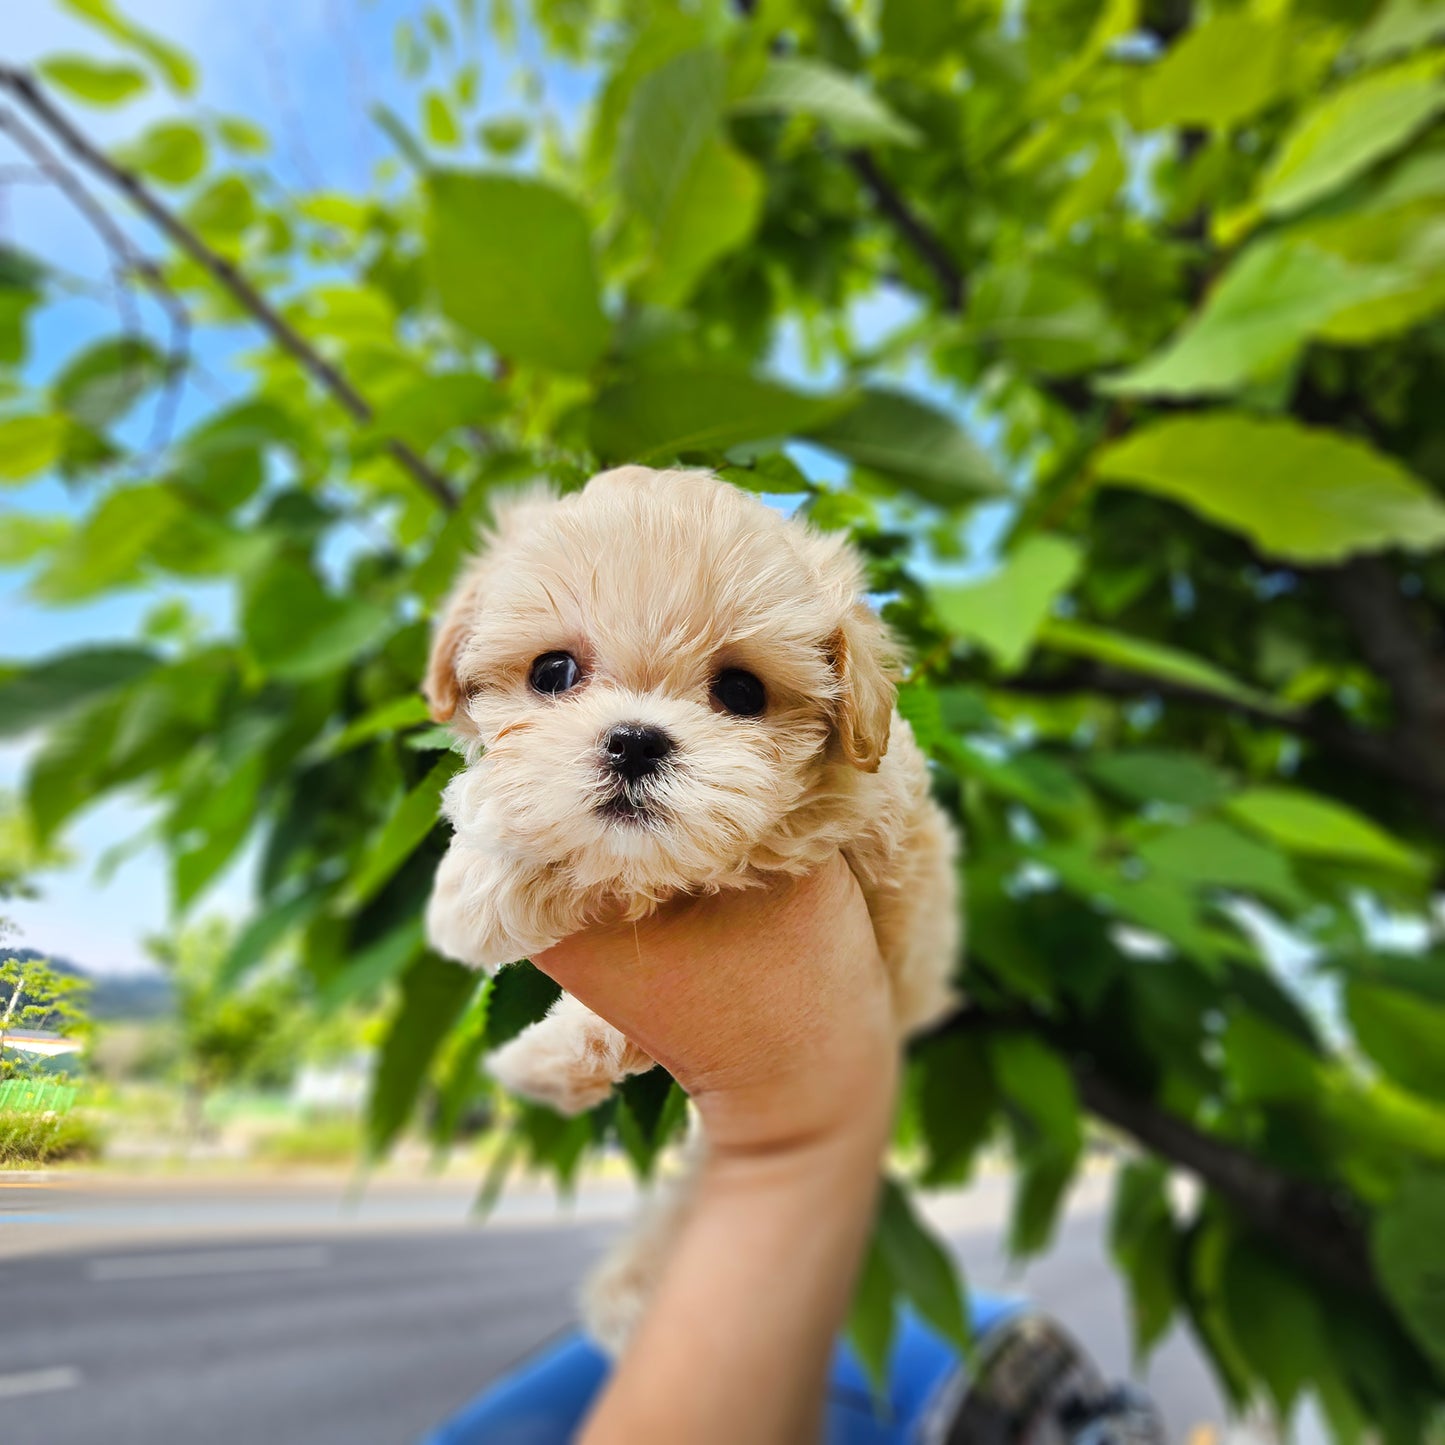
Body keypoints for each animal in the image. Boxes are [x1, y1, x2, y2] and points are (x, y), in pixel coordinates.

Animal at [419, 462, 959, 1340]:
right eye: (553, 672)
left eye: (741, 691)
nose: (635, 741)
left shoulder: (802, 829)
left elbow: (639, 866)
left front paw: (482, 877)